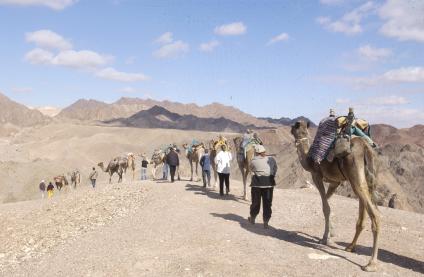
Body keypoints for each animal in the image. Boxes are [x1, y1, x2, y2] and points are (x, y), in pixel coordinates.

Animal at [292, 119, 380, 270]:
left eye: (294, 127)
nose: (291, 128)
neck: (308, 159)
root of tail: (365, 148)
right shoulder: (335, 182)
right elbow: (327, 203)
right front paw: (331, 234)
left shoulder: (316, 175)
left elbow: (326, 208)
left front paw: (324, 238)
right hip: (367, 178)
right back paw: (350, 246)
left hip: (354, 173)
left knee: (375, 214)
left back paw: (371, 263)